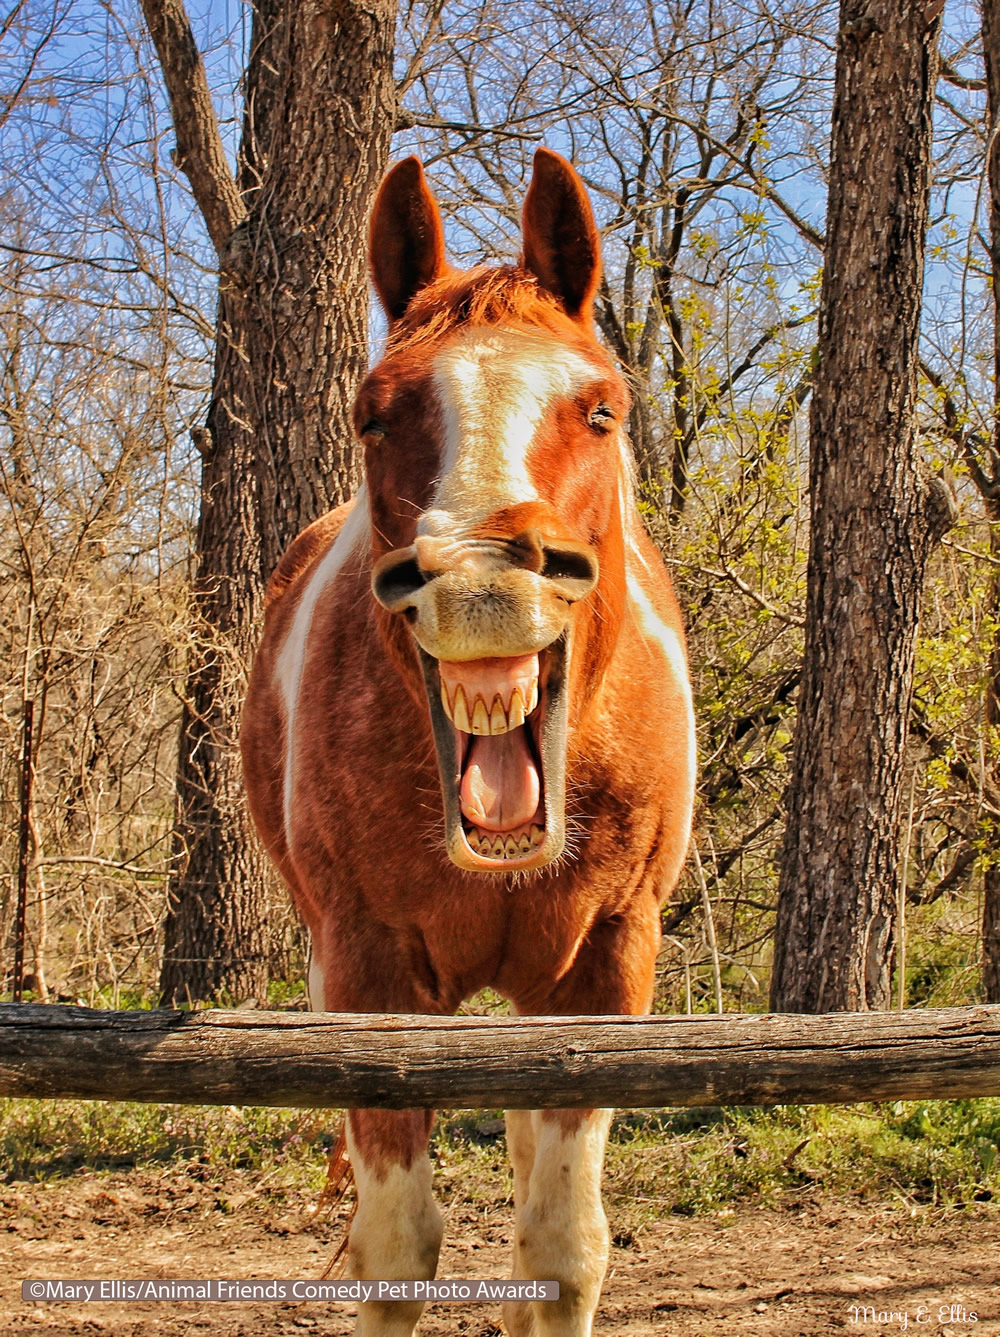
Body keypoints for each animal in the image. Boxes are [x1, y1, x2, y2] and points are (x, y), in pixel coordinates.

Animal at [240, 149, 695, 1337]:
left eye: (601, 407)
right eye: (372, 415)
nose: (482, 580)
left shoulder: (605, 969)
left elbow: (565, 1246)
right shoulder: (365, 974)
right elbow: (396, 1243)